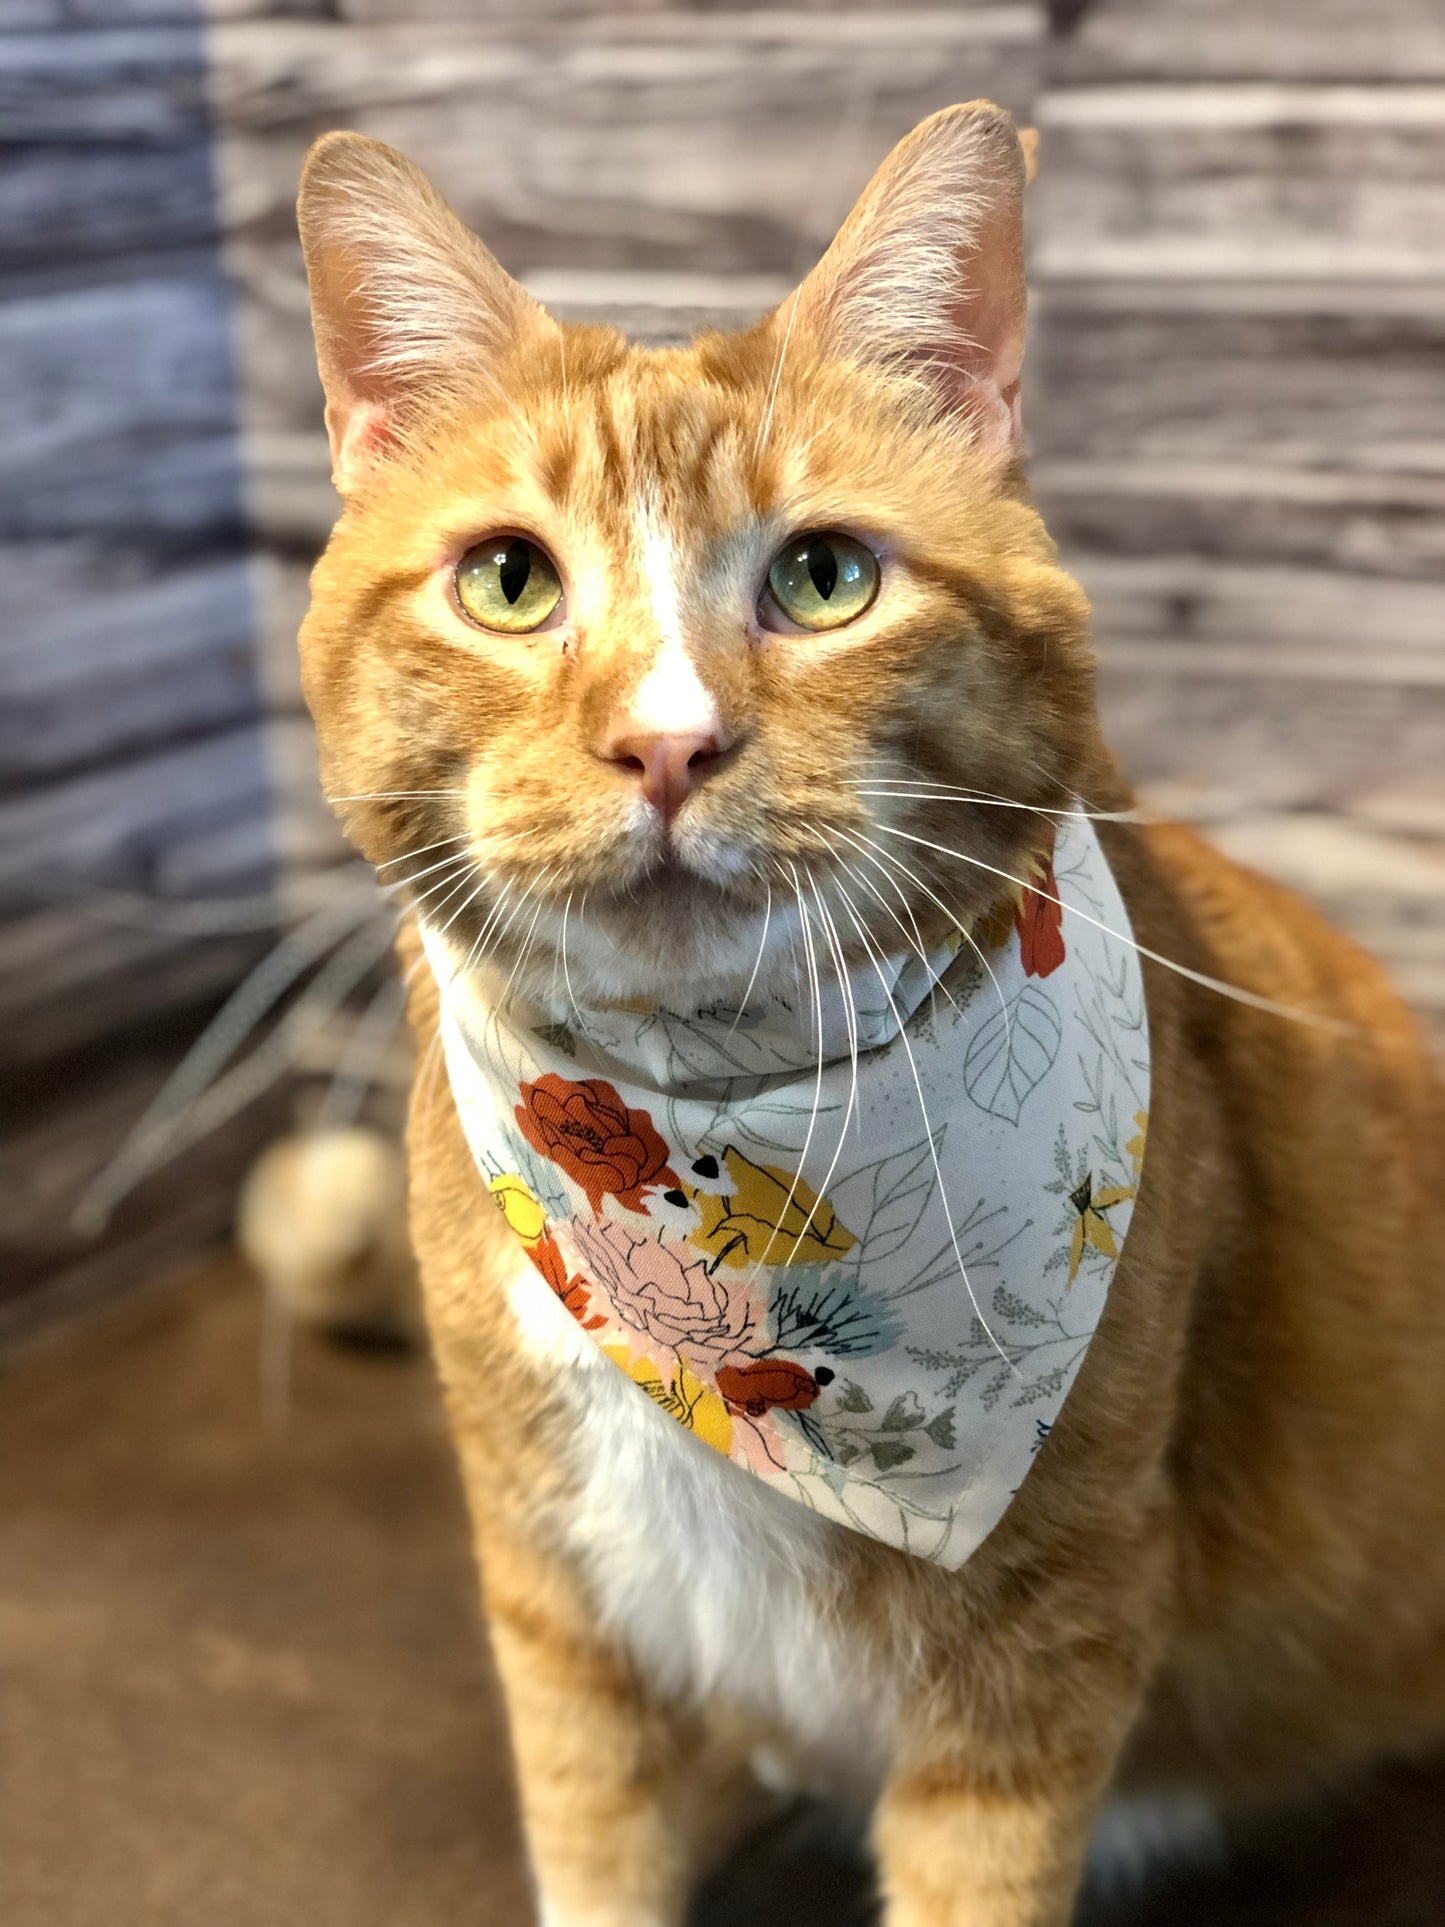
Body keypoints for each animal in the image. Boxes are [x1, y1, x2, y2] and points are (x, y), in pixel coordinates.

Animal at [294, 105, 1445, 1927]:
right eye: (510, 583)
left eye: (825, 579)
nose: (665, 743)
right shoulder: (554, 1603)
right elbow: (593, 1837)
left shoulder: (1038, 1654)